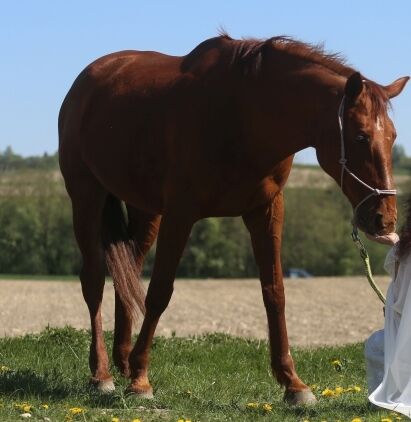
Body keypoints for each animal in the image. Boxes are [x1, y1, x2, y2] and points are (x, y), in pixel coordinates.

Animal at [58, 34, 408, 404]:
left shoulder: (266, 211)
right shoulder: (180, 213)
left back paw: (122, 360)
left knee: (127, 273)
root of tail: (89, 79)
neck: (242, 116)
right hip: (86, 197)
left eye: (393, 137)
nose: (383, 220)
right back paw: (102, 373)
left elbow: (275, 293)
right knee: (94, 280)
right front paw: (141, 379)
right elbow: (159, 292)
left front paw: (293, 383)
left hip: (145, 210)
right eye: (360, 136)